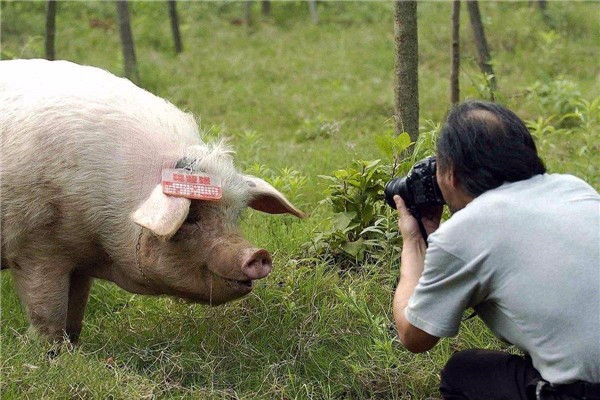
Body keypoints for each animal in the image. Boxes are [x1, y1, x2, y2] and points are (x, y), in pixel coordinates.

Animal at [0, 57, 304, 342]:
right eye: (190, 218)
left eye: (236, 216)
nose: (257, 253)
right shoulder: (35, 249)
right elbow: (47, 315)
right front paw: (51, 352)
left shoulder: (79, 261)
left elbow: (75, 314)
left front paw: (73, 346)